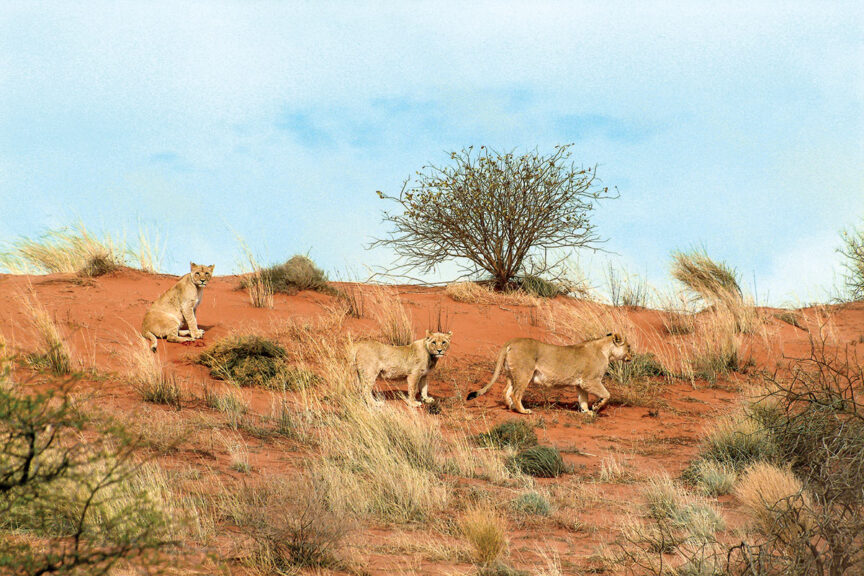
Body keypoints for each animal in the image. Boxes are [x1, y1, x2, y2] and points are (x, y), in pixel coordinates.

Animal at [466, 332, 632, 415]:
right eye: (628, 347)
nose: (632, 356)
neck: (607, 351)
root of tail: (512, 341)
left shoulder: (581, 384)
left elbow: (583, 399)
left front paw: (587, 411)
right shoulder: (591, 381)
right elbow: (607, 394)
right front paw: (597, 407)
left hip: (511, 374)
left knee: (506, 391)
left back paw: (511, 407)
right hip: (524, 373)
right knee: (516, 394)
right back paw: (523, 411)